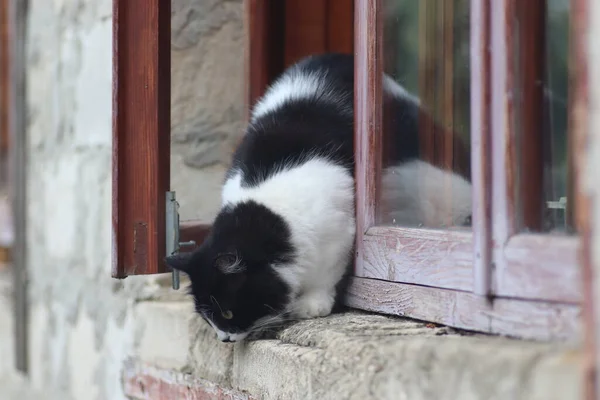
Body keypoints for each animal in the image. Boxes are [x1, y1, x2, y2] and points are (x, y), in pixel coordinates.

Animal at [165, 53, 474, 342]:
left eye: (228, 313)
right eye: (207, 318)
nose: (224, 338)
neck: (275, 220)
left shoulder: (338, 235)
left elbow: (326, 275)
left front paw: (313, 305)